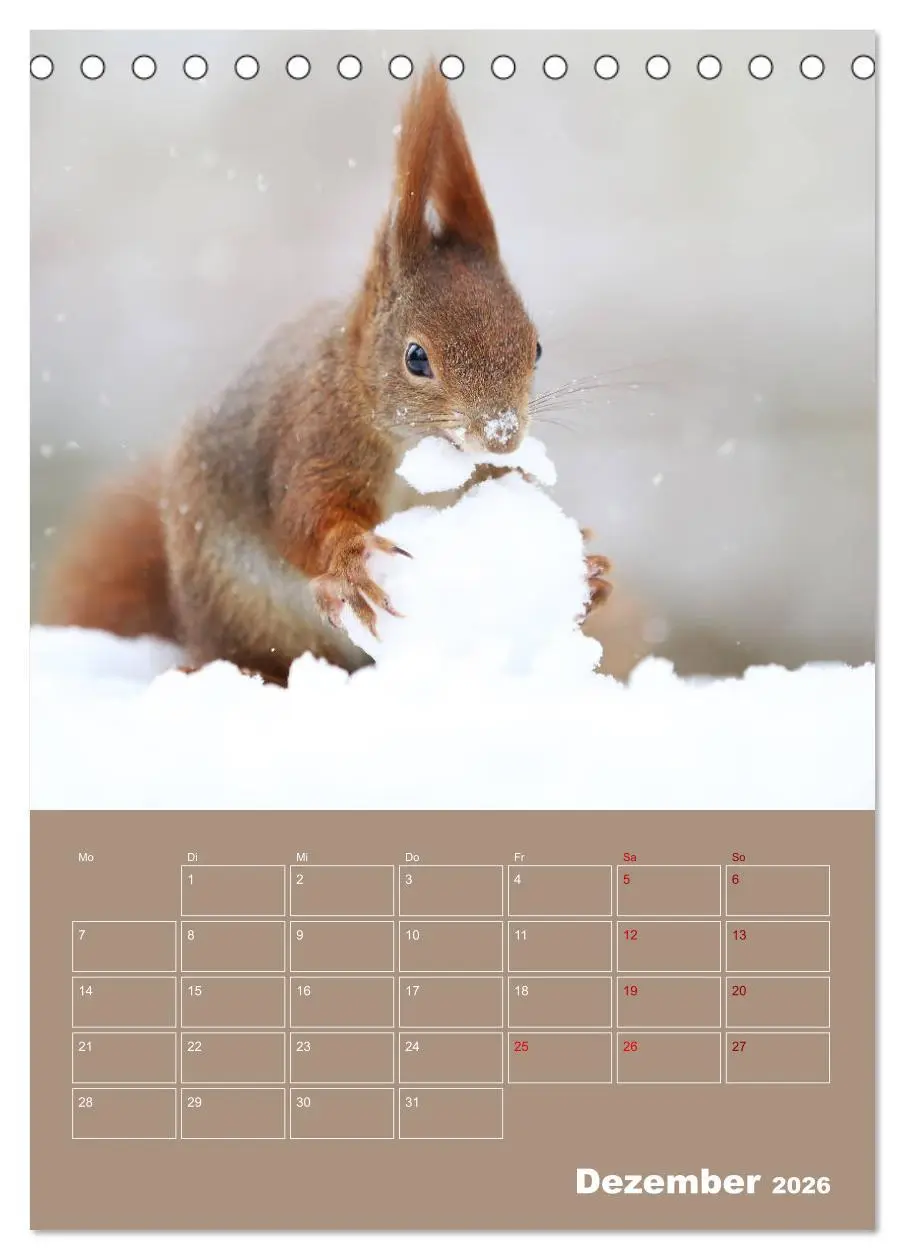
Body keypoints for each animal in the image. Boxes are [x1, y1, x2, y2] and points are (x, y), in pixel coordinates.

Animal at [39, 64, 613, 686]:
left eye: (536, 348)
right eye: (416, 358)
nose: (502, 435)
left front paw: (589, 572)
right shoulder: (313, 440)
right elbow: (305, 518)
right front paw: (349, 562)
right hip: (244, 612)